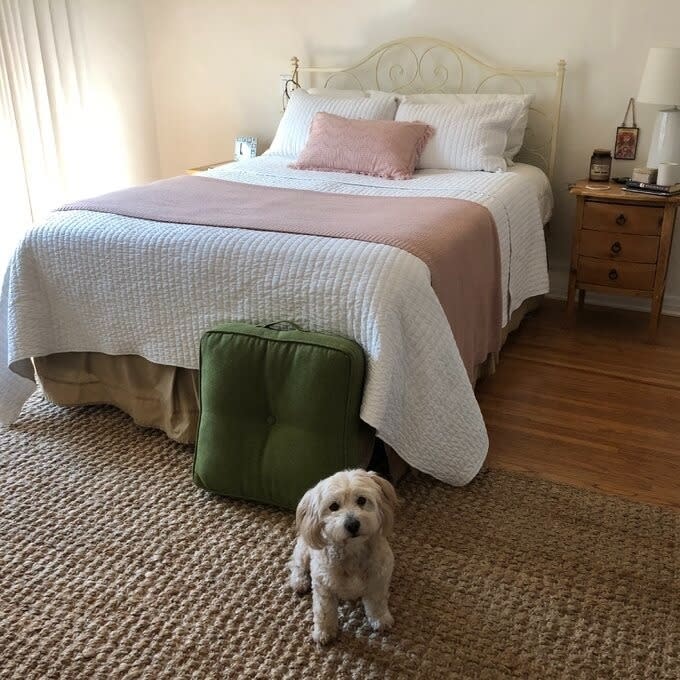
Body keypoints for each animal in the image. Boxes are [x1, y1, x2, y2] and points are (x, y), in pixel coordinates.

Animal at [288, 468, 398, 644]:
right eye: (333, 506)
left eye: (361, 500)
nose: (352, 524)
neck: (352, 551)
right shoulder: (323, 586)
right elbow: (324, 611)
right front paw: (324, 632)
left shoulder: (378, 580)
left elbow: (377, 603)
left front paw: (380, 619)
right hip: (305, 549)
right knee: (297, 563)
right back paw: (299, 581)